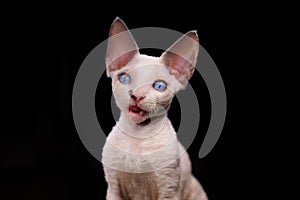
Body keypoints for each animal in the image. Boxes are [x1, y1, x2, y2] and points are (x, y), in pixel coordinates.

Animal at [102, 17, 207, 200]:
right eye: (124, 78)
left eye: (159, 86)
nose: (136, 96)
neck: (136, 137)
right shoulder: (113, 188)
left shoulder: (168, 189)